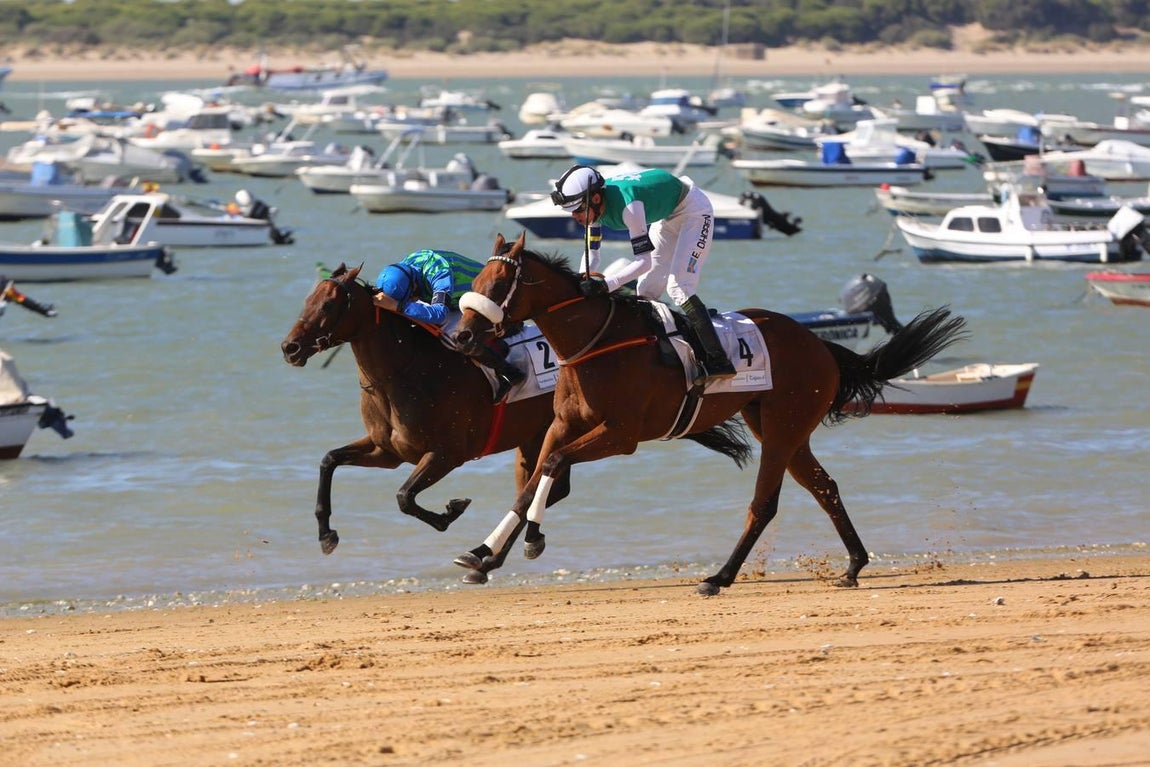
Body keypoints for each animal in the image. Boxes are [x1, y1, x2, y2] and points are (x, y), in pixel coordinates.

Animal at [280, 262, 569, 580]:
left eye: (329, 304)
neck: (405, 374)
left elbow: (404, 496)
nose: (290, 347)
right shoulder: (387, 452)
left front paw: (451, 511)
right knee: (543, 490)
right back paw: (493, 558)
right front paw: (326, 534)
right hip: (535, 438)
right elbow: (329, 460)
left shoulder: (447, 454)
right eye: (308, 300)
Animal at [451, 233, 969, 596]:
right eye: (473, 283)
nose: (461, 337)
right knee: (825, 488)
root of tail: (819, 344)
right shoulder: (563, 425)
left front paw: (532, 541)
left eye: (499, 284)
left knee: (765, 504)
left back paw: (719, 577)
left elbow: (552, 468)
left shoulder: (620, 435)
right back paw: (853, 566)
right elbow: (532, 482)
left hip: (782, 427)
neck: (595, 344)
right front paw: (483, 556)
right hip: (784, 427)